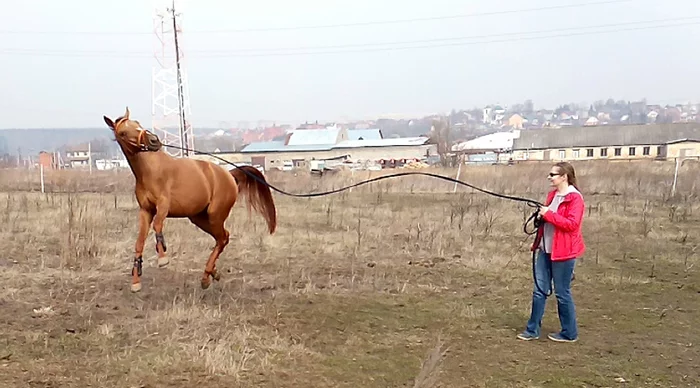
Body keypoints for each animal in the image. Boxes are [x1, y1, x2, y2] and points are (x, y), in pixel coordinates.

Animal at [102, 106, 278, 292]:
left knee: (222, 238)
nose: (153, 140)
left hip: (215, 215)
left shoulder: (163, 205)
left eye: (137, 123)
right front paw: (136, 281)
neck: (150, 171)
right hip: (199, 218)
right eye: (122, 133)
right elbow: (139, 242)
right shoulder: (146, 210)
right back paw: (211, 274)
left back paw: (208, 275)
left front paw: (163, 259)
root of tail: (229, 174)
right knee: (223, 238)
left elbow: (157, 225)